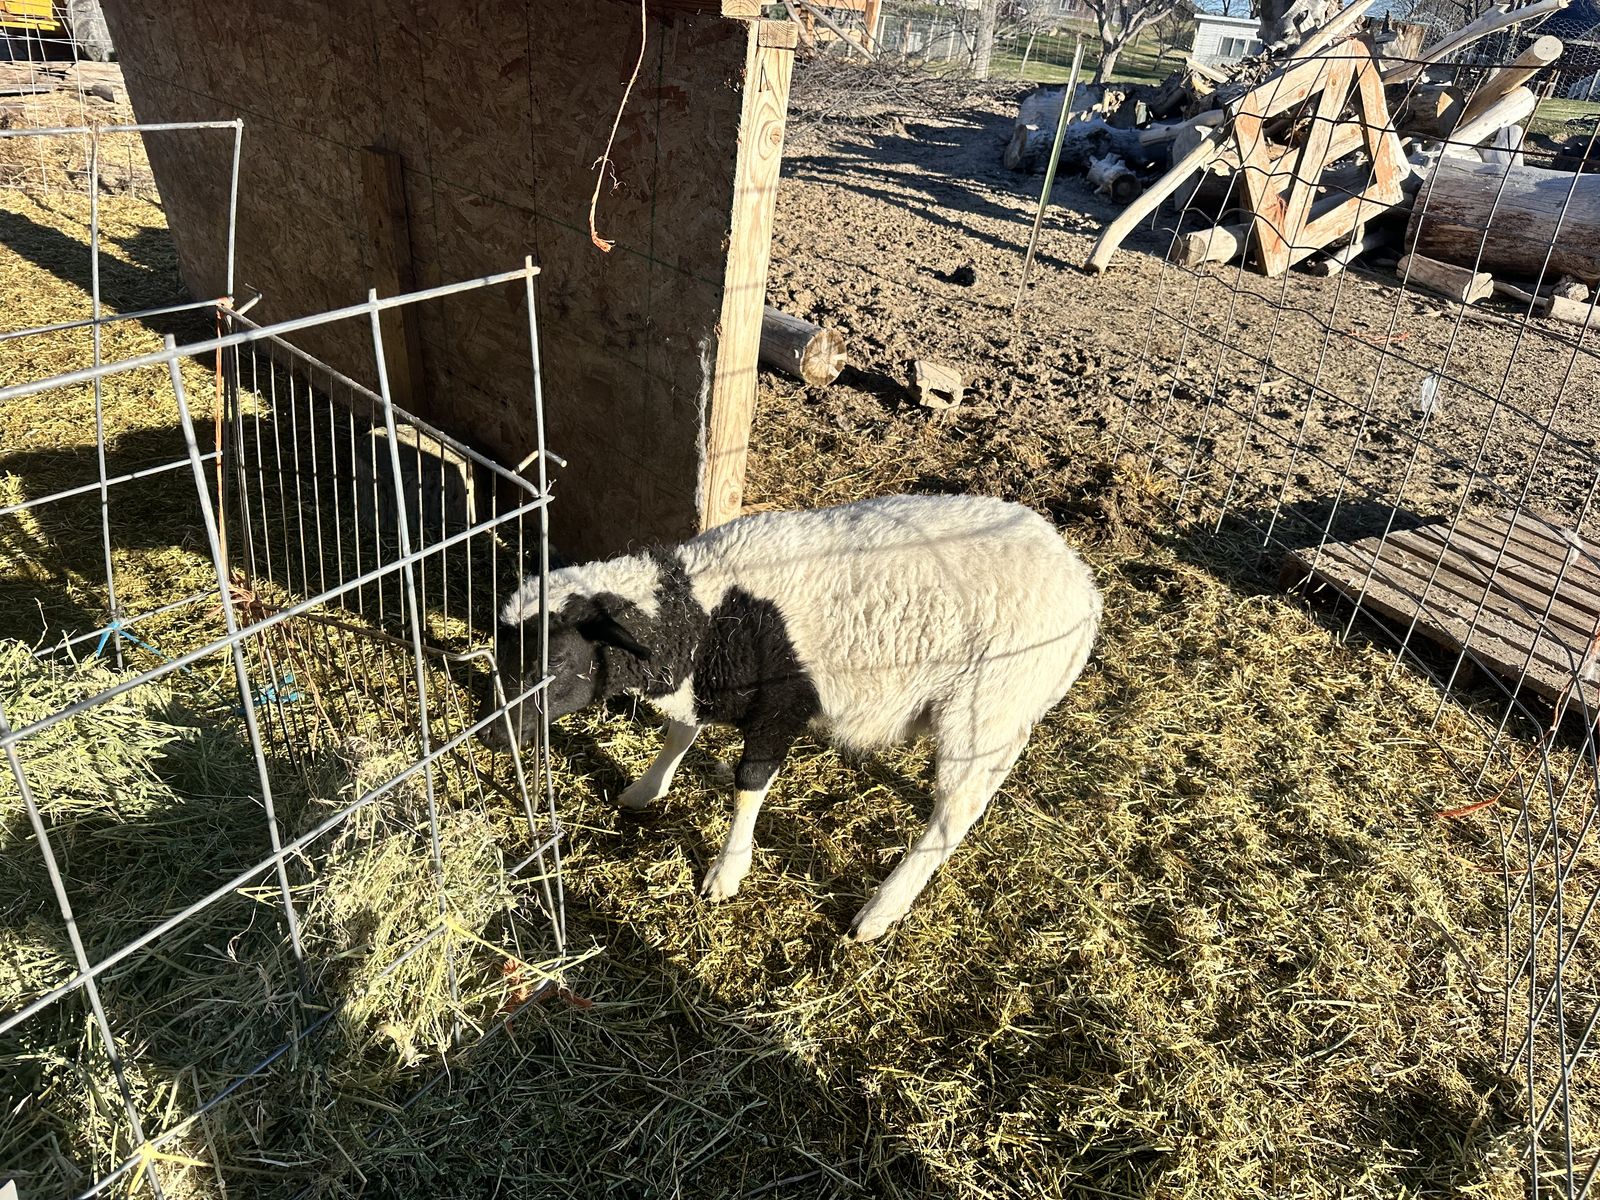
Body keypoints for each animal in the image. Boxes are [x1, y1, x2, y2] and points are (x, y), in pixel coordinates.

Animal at [485, 493, 1102, 942]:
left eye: (555, 662)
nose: (493, 736)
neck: (704, 617)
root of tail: (1083, 587)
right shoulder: (708, 685)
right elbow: (680, 733)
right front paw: (645, 789)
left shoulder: (782, 705)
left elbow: (748, 785)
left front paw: (727, 873)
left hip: (986, 704)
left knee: (956, 811)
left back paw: (879, 913)